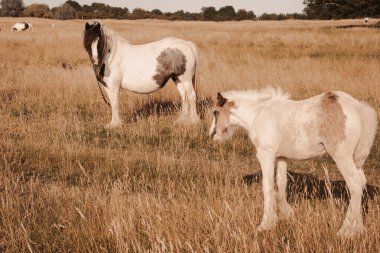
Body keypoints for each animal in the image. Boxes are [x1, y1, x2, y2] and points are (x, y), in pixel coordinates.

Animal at [209, 87, 378, 237]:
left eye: (215, 112)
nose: (211, 134)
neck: (259, 114)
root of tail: (359, 107)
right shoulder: (281, 157)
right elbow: (281, 182)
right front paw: (286, 214)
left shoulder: (266, 154)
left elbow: (267, 186)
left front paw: (265, 224)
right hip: (355, 159)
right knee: (361, 183)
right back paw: (359, 228)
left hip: (342, 156)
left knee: (354, 184)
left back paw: (346, 231)